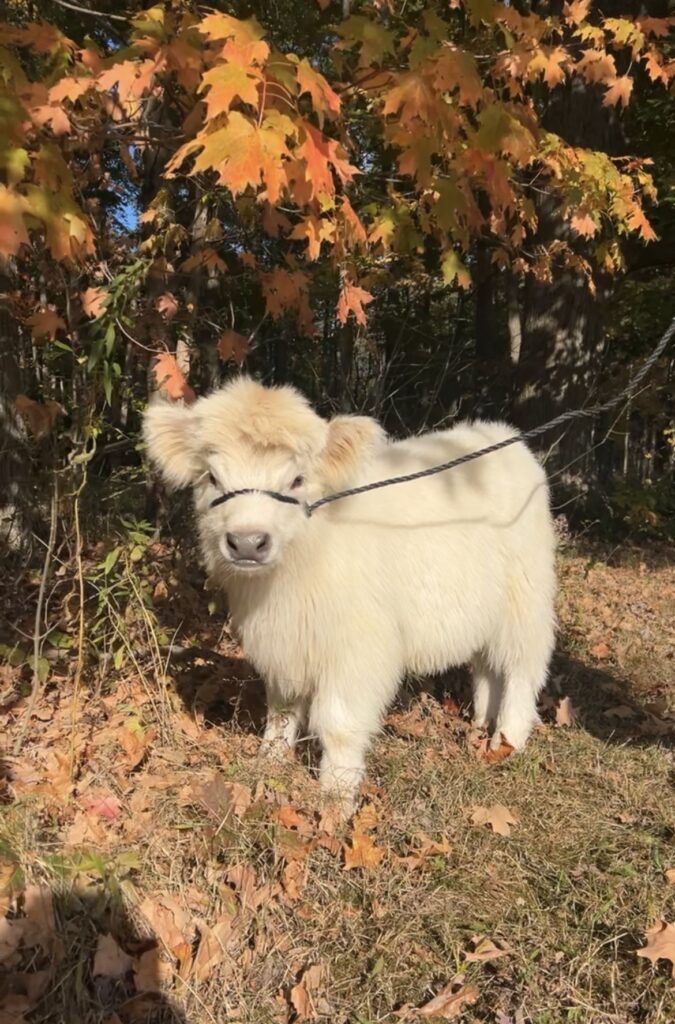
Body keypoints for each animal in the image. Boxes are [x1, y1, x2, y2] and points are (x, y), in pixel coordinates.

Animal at [143, 377, 557, 809]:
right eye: (212, 477)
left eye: (296, 480)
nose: (247, 542)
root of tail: (503, 436)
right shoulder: (284, 644)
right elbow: (281, 709)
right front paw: (270, 762)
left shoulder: (357, 651)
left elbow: (339, 723)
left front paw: (336, 796)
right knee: (486, 666)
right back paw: (481, 722)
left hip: (527, 598)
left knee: (522, 669)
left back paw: (506, 741)